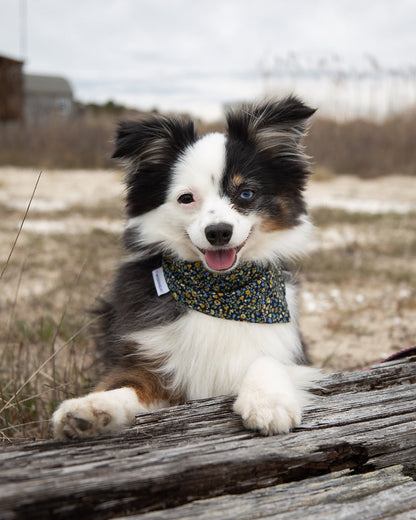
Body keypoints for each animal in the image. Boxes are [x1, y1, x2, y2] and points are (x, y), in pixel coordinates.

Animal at [53, 96, 316, 438]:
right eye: (186, 198)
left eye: (246, 193)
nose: (218, 232)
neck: (220, 293)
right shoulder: (153, 361)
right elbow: (126, 384)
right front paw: (90, 408)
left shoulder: (291, 350)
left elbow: (267, 360)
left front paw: (269, 403)